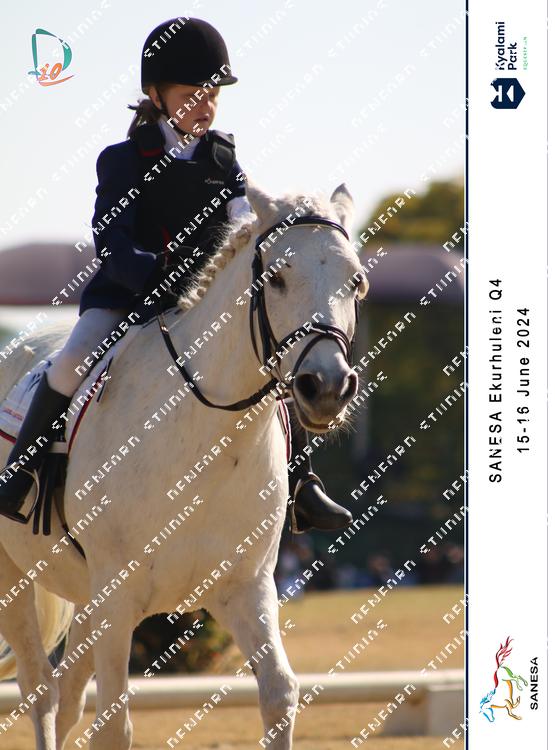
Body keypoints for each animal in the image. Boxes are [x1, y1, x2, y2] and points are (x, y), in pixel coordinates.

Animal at [0, 183, 369, 750]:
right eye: (276, 277)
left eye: (357, 282)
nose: (326, 388)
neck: (207, 438)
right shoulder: (117, 598)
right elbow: (115, 726)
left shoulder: (246, 588)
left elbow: (280, 694)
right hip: (16, 577)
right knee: (41, 688)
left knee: (68, 694)